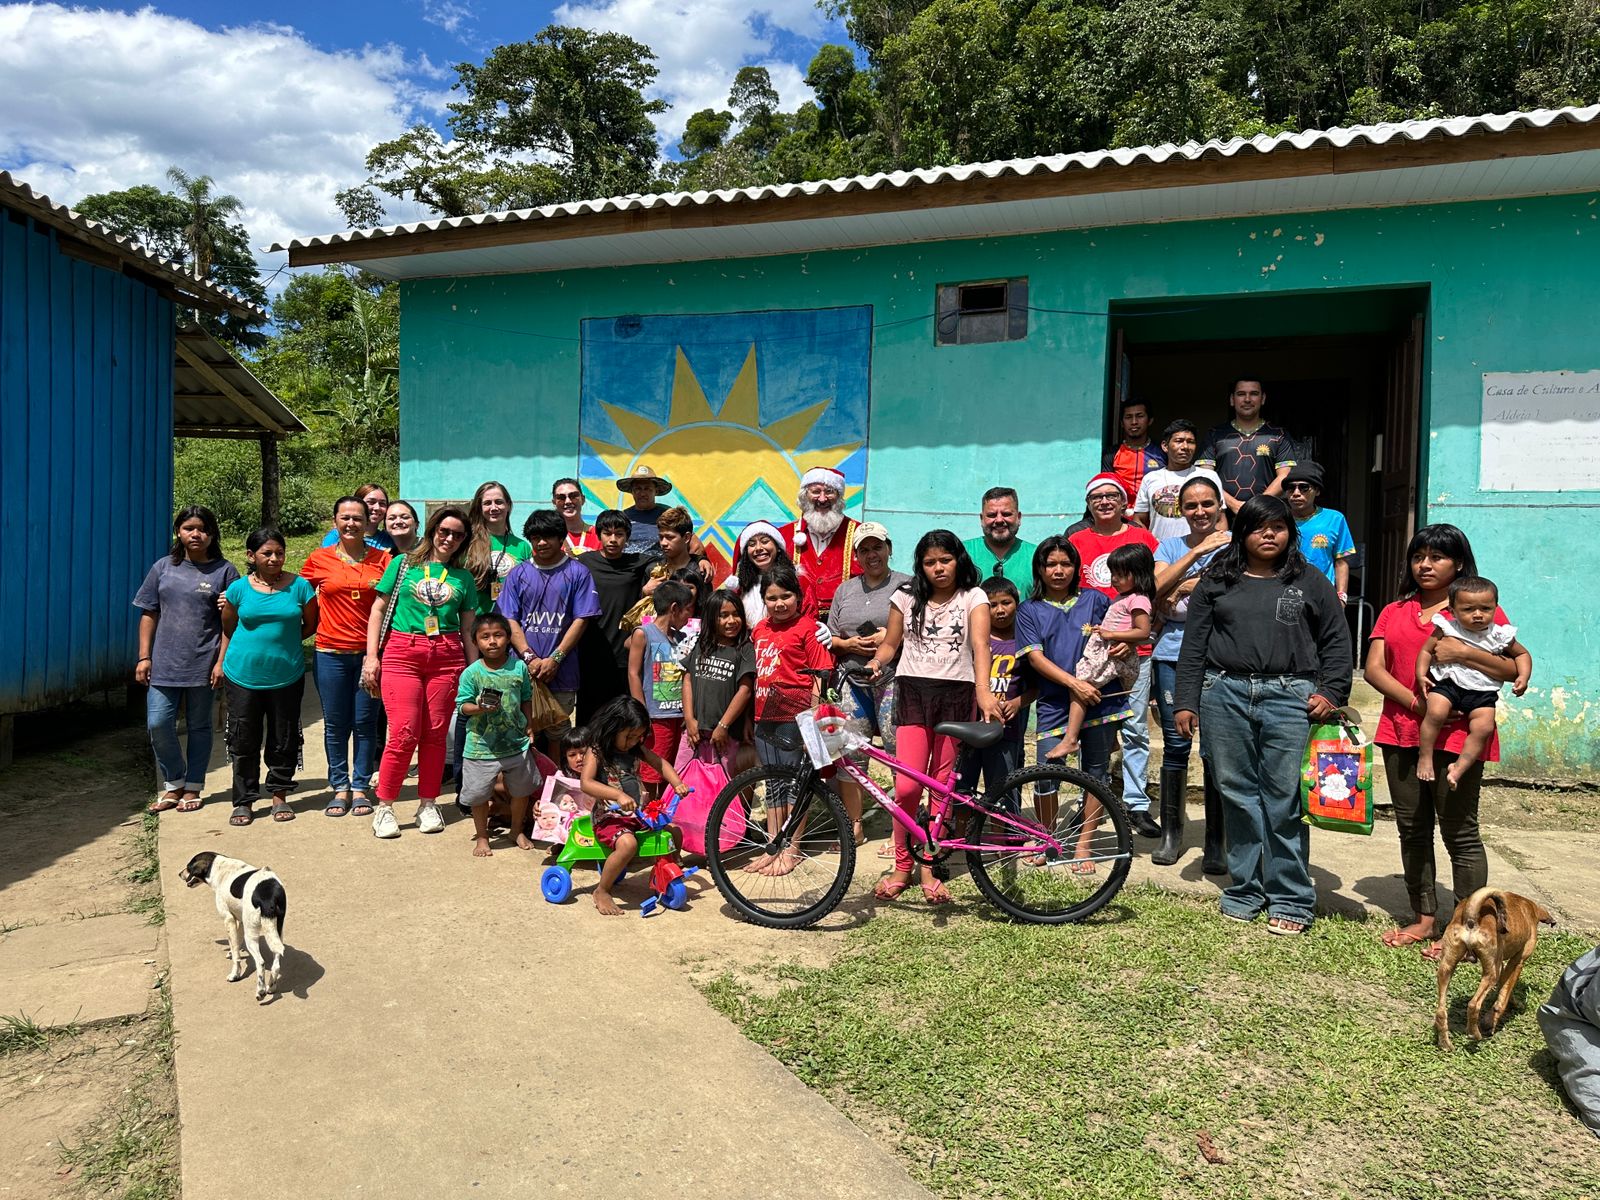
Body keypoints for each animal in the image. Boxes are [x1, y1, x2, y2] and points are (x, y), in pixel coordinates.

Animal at [182, 857, 291, 1004]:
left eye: (188, 867)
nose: (179, 874)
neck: (220, 869)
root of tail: (269, 897)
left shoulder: (228, 920)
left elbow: (236, 955)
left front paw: (235, 974)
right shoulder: (239, 920)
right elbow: (235, 944)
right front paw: (231, 952)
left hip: (251, 936)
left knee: (260, 962)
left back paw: (260, 991)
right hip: (276, 933)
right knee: (276, 964)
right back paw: (271, 987)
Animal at [1440, 889, 1548, 1049]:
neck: (1529, 907)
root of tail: (1471, 918)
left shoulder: (1502, 964)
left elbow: (1505, 988)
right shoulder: (1518, 961)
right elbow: (1504, 994)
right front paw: (1492, 1020)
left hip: (1446, 967)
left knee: (1441, 1011)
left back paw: (1444, 1043)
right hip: (1491, 974)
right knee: (1473, 1004)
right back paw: (1475, 1034)